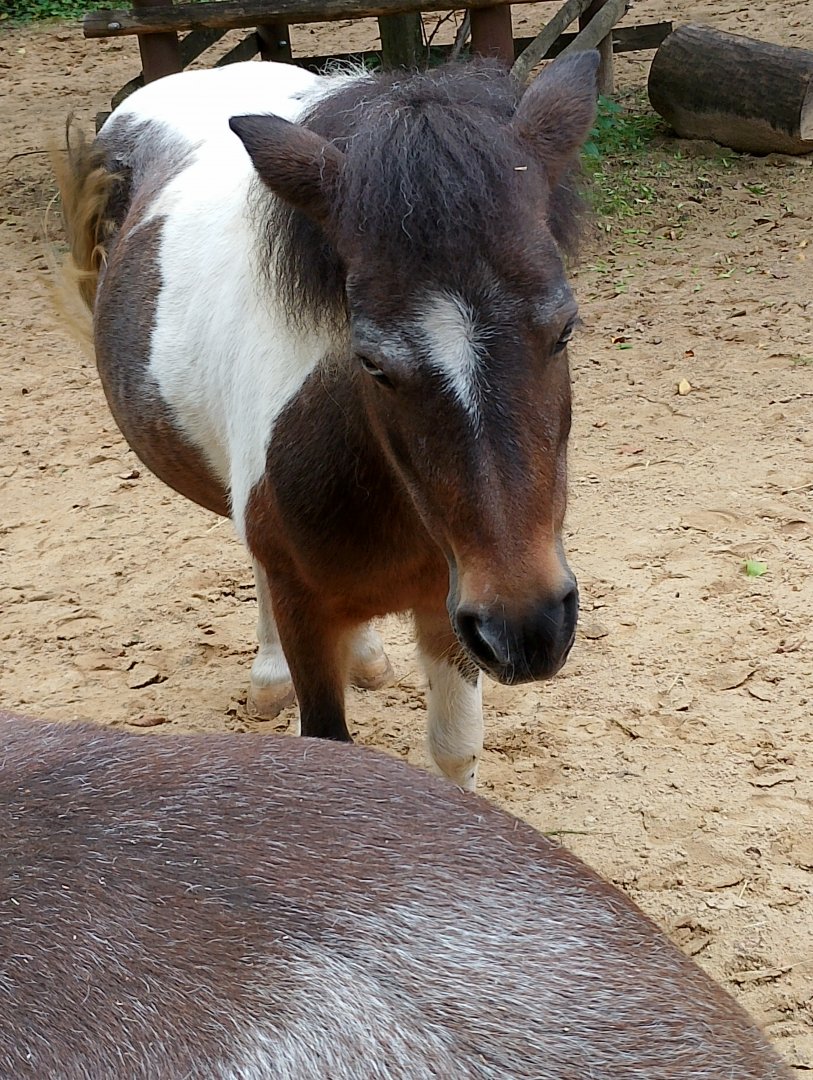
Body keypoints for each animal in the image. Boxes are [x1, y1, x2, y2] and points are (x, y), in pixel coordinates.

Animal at [56, 53, 599, 789]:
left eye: (564, 329)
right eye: (370, 361)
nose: (529, 627)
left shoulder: (452, 602)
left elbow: (455, 748)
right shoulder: (310, 609)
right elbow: (325, 743)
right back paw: (268, 676)